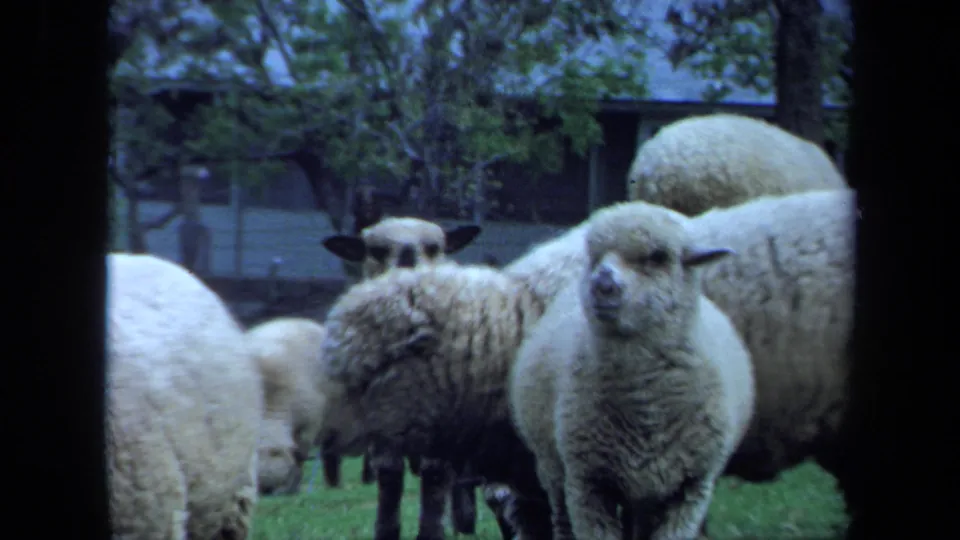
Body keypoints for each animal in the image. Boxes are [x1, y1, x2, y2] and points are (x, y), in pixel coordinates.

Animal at [509, 200, 755, 540]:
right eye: (595, 256)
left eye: (658, 257)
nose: (602, 284)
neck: (644, 402)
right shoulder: (588, 483)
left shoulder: (691, 487)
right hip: (553, 468)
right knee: (561, 519)